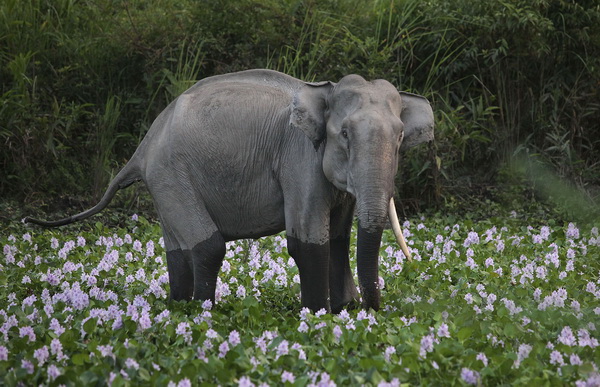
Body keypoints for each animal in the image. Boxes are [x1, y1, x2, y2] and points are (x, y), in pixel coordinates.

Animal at [25, 68, 434, 314]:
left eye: (401, 137)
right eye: (345, 134)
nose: (371, 309)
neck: (323, 91)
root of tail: (142, 148)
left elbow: (338, 237)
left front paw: (341, 312)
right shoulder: (299, 160)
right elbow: (306, 242)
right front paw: (318, 314)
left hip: (165, 180)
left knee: (178, 247)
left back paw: (179, 307)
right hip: (171, 173)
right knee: (208, 246)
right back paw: (203, 312)